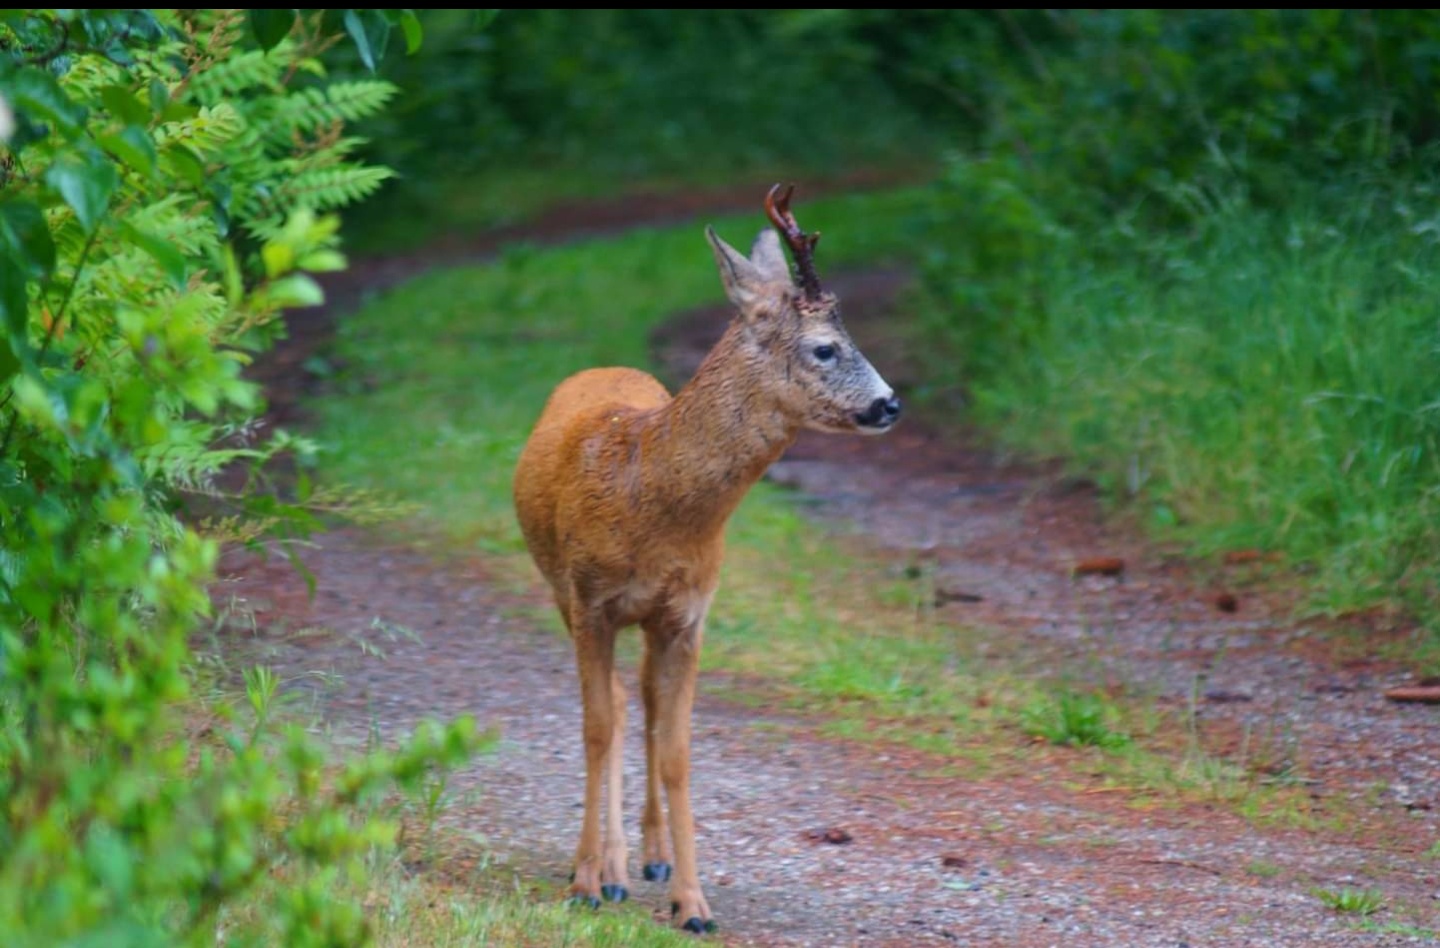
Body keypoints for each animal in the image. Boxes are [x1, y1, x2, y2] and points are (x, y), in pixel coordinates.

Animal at [512, 184, 898, 927]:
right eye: (825, 348)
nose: (891, 404)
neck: (650, 504)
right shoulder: (589, 598)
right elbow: (595, 730)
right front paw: (583, 882)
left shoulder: (689, 614)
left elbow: (678, 752)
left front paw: (692, 901)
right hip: (556, 588)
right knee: (613, 706)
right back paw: (609, 871)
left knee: (640, 702)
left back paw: (648, 859)